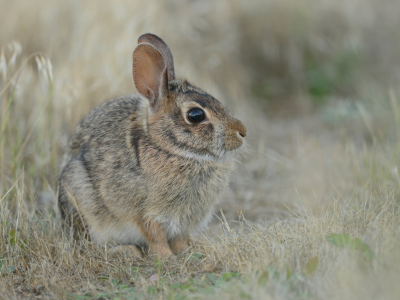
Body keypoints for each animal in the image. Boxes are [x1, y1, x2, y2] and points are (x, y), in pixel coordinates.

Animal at [58, 33, 247, 258]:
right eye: (195, 115)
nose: (242, 132)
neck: (169, 148)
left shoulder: (183, 221)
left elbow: (179, 238)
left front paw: (183, 252)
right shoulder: (145, 212)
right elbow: (155, 235)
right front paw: (166, 258)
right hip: (82, 199)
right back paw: (126, 251)